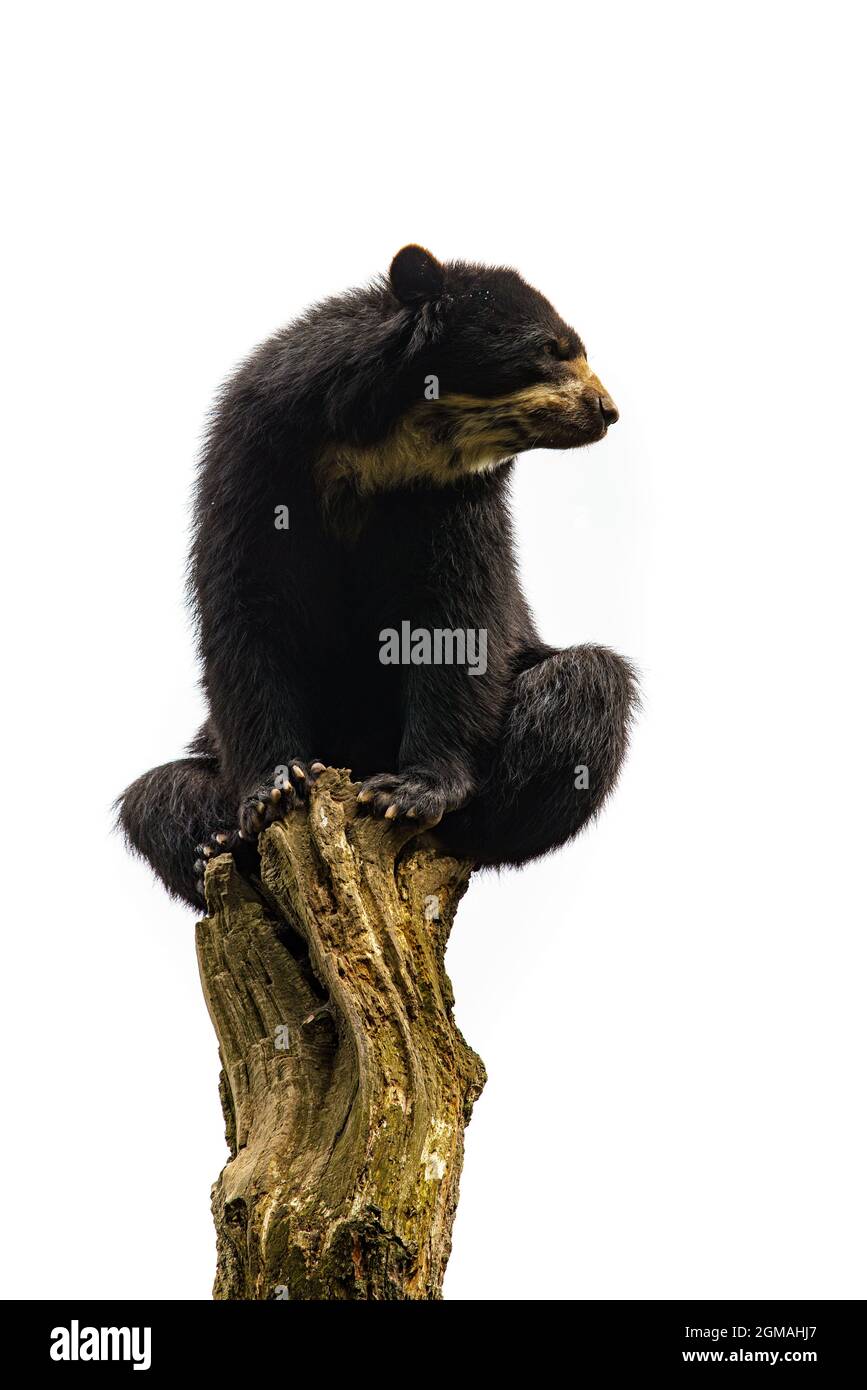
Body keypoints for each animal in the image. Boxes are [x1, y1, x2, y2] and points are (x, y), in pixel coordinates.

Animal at [118, 245, 638, 909]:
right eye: (552, 348)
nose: (608, 412)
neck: (389, 444)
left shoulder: (457, 502)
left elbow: (457, 621)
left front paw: (410, 793)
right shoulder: (253, 461)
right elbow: (245, 611)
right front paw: (273, 791)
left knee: (588, 682)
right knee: (154, 797)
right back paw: (218, 842)